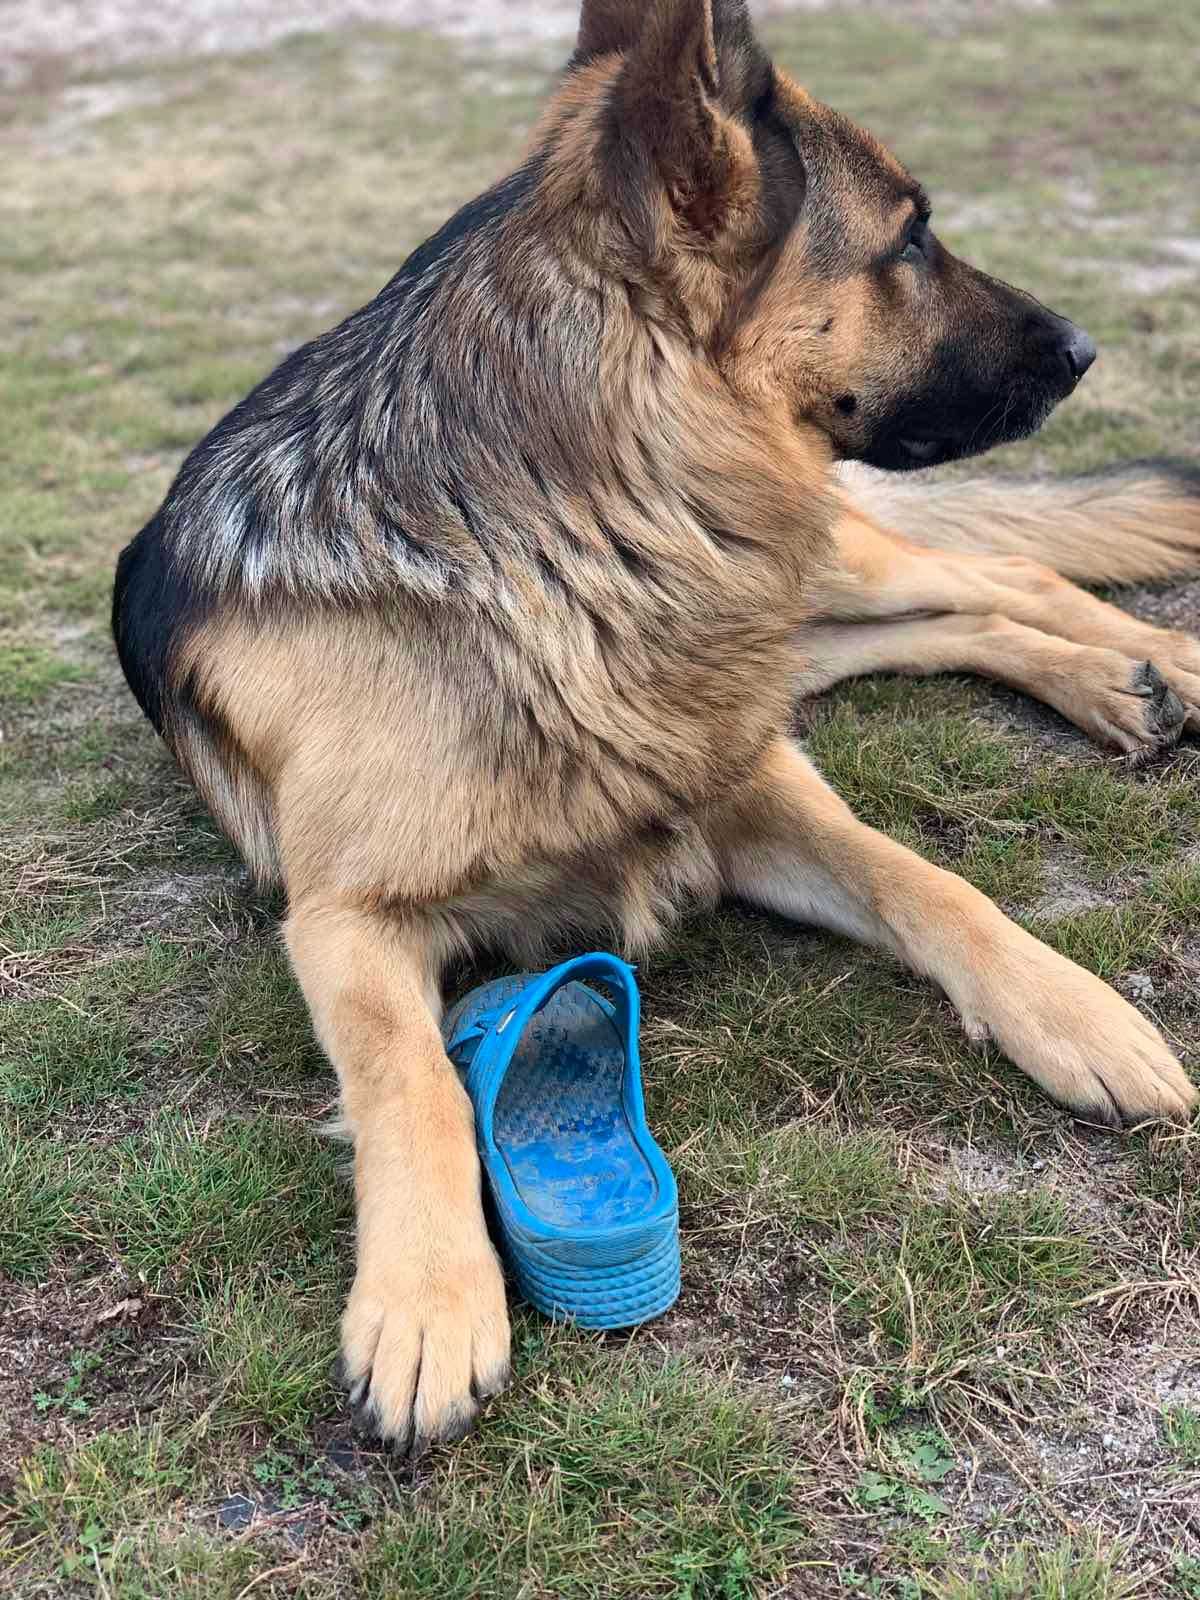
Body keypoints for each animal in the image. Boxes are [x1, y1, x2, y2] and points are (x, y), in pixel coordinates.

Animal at [115, 0, 1200, 1452]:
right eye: (909, 238)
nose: (1086, 347)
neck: (556, 549)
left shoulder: (745, 780)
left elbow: (926, 883)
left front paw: (1078, 1014)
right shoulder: (341, 918)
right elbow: (410, 1076)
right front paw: (427, 1298)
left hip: (825, 573)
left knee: (1007, 571)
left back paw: (1153, 662)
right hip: (793, 618)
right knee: (957, 610)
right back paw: (1122, 683)